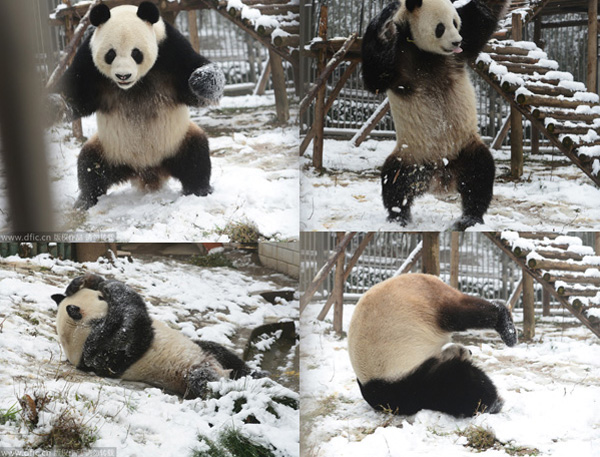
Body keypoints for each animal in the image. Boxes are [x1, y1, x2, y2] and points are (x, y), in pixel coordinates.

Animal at [49, 1, 225, 208]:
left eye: (136, 53)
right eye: (110, 54)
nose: (123, 75)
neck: (133, 86)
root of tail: (148, 172)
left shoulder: (171, 49)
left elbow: (196, 80)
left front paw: (200, 80)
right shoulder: (88, 60)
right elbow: (76, 93)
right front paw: (54, 105)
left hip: (177, 140)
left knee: (196, 157)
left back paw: (199, 190)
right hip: (109, 149)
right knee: (90, 166)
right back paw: (85, 200)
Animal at [49, 272, 260, 398]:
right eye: (100, 298)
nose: (102, 293)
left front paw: (83, 281)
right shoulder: (104, 347)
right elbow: (130, 321)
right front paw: (108, 285)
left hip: (205, 350)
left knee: (226, 355)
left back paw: (254, 375)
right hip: (192, 371)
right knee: (204, 381)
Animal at [346, 274, 516, 416]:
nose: (470, 351)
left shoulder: (414, 382)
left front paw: (493, 404)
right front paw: (492, 403)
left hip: (427, 301)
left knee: (464, 313)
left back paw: (507, 329)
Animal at [360, 0, 510, 228]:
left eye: (455, 23)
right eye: (441, 27)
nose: (457, 41)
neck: (426, 52)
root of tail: (440, 177)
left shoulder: (463, 44)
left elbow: (484, 13)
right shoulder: (399, 58)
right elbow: (375, 76)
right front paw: (385, 21)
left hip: (465, 147)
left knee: (479, 175)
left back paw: (469, 218)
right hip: (411, 155)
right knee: (395, 181)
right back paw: (399, 217)